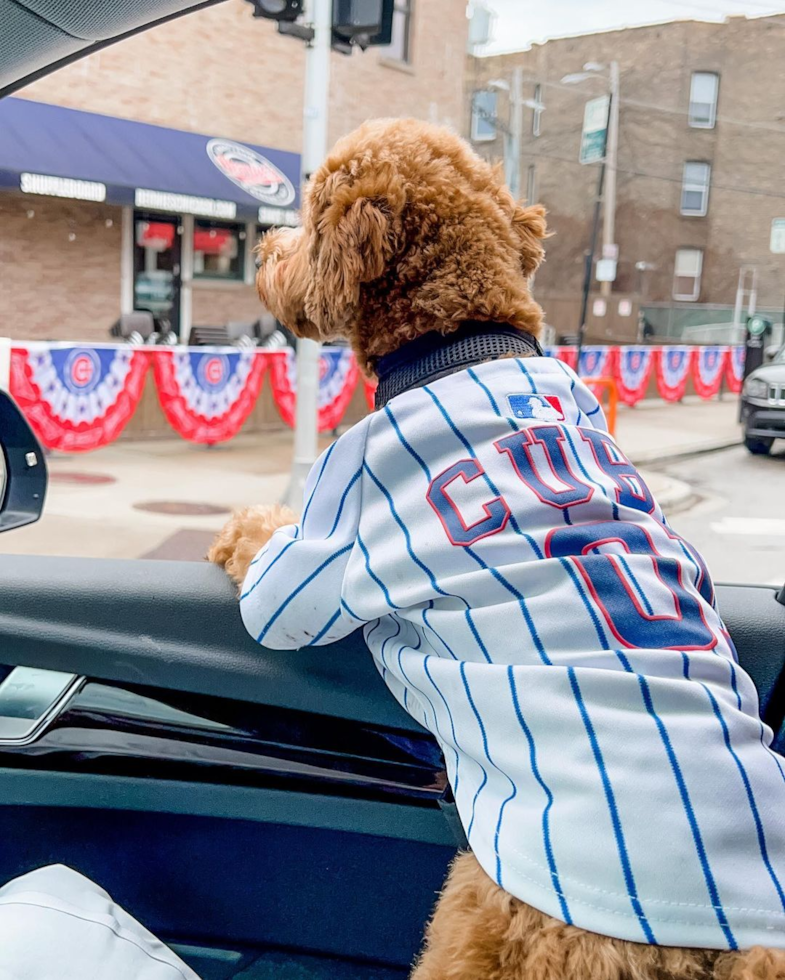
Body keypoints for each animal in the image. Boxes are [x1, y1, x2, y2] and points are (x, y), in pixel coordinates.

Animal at [208, 120, 784, 980]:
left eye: (309, 225)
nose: (264, 253)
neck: (461, 340)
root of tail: (718, 945)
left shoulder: (332, 529)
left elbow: (271, 572)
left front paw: (238, 526)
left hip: (483, 920)